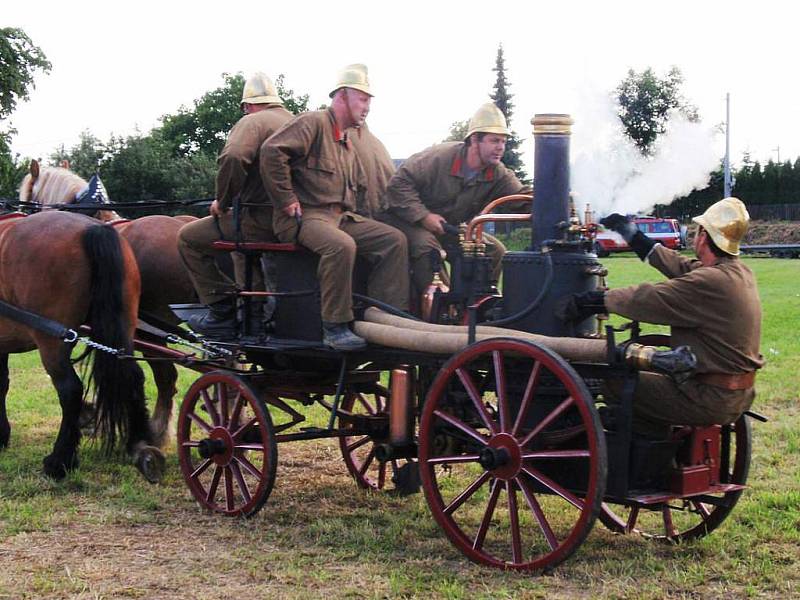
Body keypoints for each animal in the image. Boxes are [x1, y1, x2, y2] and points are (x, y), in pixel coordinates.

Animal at [0, 211, 165, 482]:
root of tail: (94, 229)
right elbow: (3, 383)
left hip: (52, 341)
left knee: (70, 390)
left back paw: (60, 461)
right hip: (122, 329)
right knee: (133, 376)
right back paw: (139, 444)